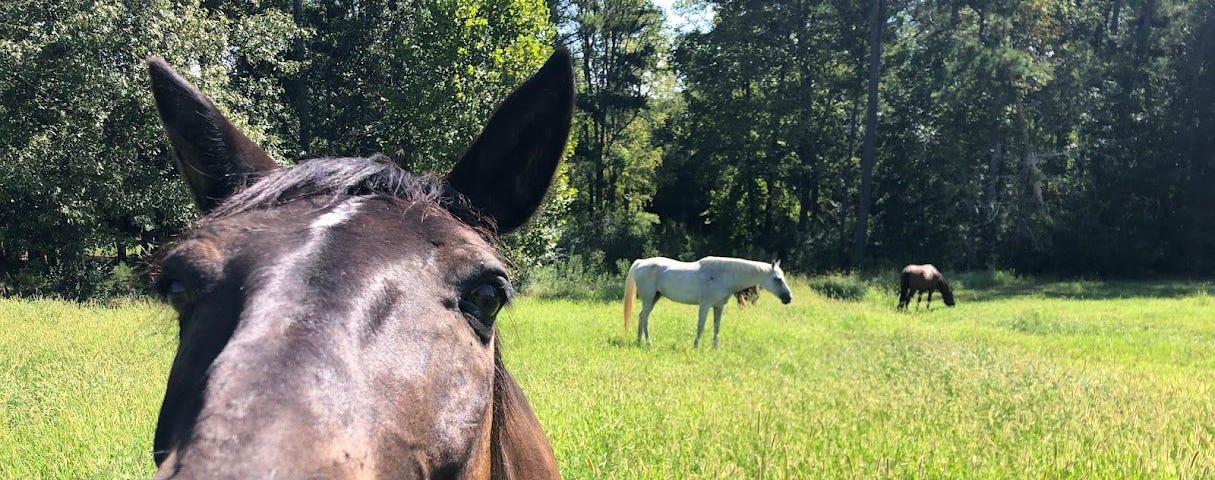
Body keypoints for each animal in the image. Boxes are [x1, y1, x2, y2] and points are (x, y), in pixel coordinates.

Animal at [622, 257, 792, 347]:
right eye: (777, 279)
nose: (789, 298)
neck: (723, 276)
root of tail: (641, 263)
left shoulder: (718, 307)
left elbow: (717, 327)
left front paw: (715, 348)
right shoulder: (705, 305)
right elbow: (701, 326)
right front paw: (696, 346)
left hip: (654, 298)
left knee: (641, 316)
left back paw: (639, 341)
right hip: (649, 298)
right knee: (645, 318)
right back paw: (648, 343)